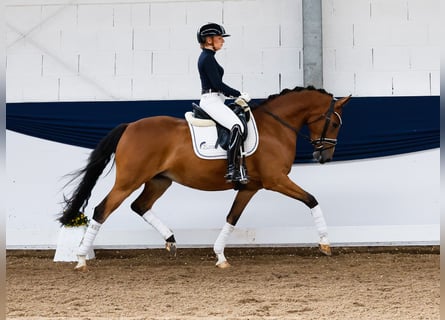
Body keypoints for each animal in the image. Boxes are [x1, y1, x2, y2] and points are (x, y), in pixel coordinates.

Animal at [58, 85, 350, 270]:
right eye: (335, 123)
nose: (324, 157)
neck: (276, 127)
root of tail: (130, 126)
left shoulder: (250, 188)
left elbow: (232, 218)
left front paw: (220, 256)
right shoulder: (275, 180)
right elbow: (312, 200)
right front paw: (325, 244)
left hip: (160, 180)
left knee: (139, 205)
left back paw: (171, 241)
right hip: (129, 181)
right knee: (102, 209)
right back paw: (81, 259)